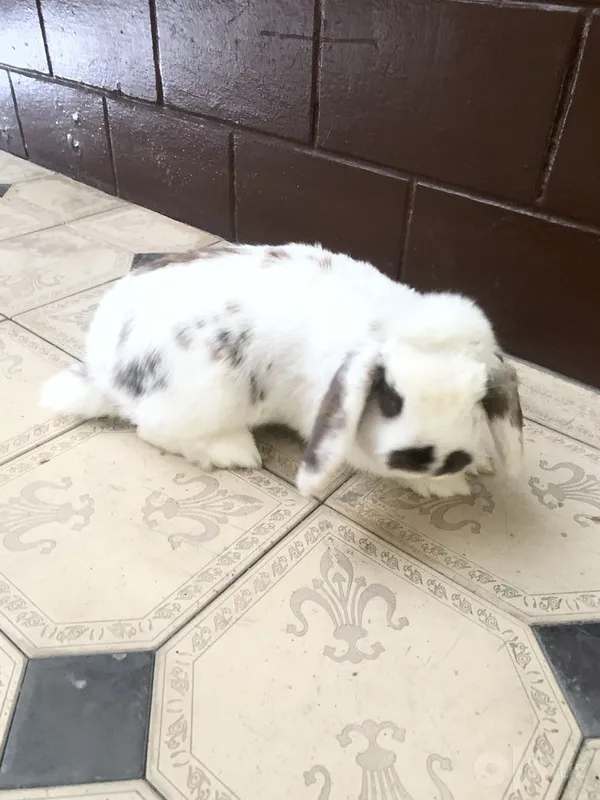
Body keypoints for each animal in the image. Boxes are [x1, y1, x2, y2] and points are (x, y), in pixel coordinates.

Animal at [41, 242, 523, 499]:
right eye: (389, 397)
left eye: (481, 398)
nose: (440, 457)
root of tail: (104, 372)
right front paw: (449, 486)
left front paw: (478, 462)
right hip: (211, 395)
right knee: (155, 431)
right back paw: (234, 451)